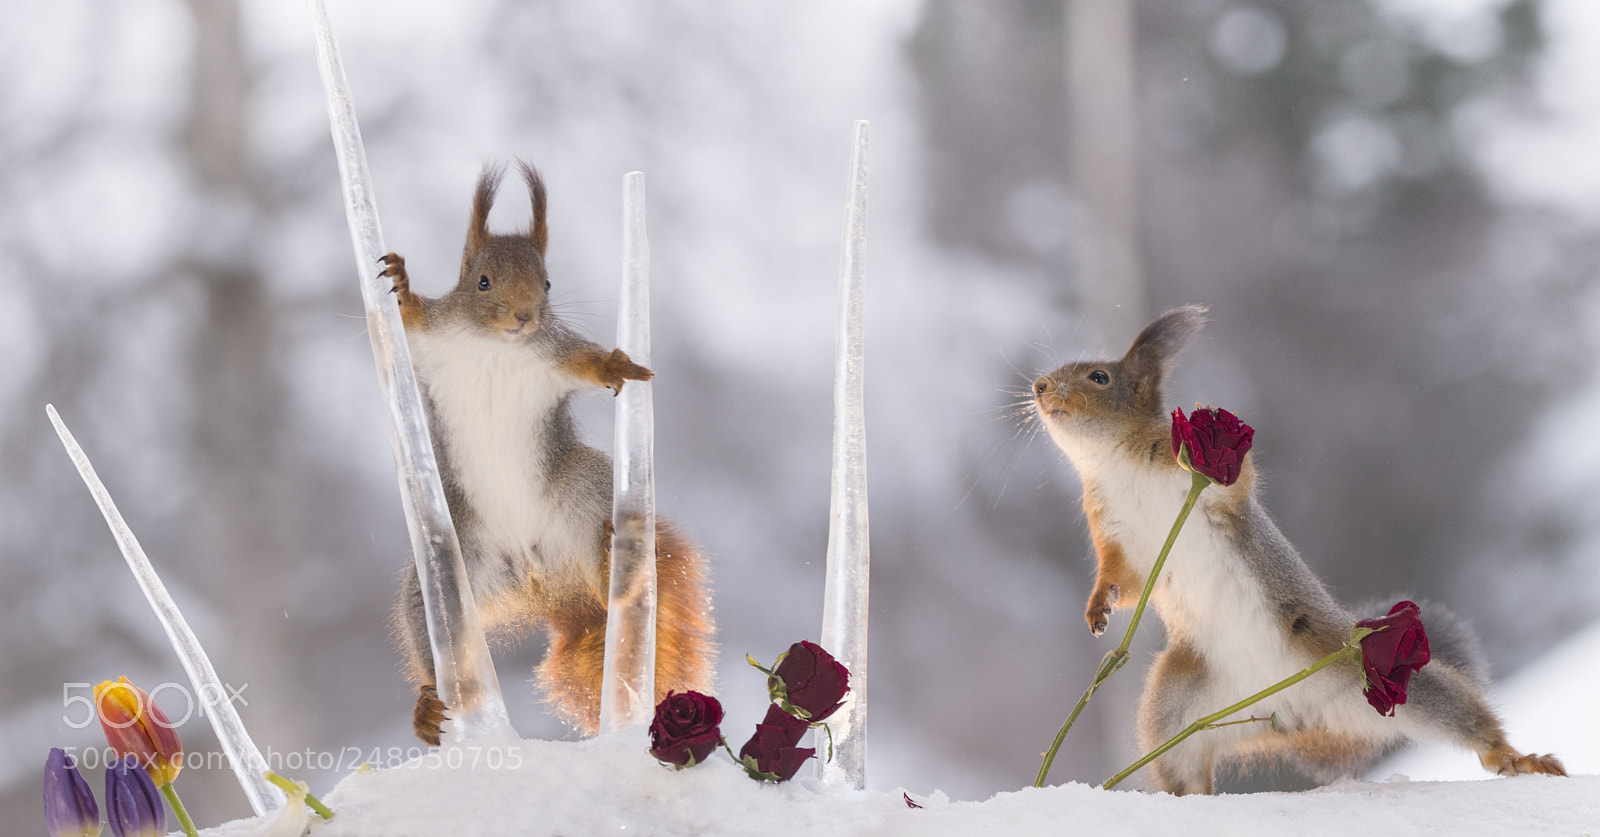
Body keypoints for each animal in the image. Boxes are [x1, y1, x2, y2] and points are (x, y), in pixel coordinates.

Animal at [379, 160, 714, 744]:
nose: (523, 316)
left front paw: (615, 366)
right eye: (482, 281)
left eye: (548, 283)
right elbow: (410, 317)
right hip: (451, 568)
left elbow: (588, 361)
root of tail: (541, 585)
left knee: (606, 593)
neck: (496, 346)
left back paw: (609, 566)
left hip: (584, 489)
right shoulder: (431, 337)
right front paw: (400, 284)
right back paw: (427, 703)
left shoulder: (554, 355)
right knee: (432, 636)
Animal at [1031, 305, 1565, 794]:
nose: (1038, 386)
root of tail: (1293, 714)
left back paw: (1518, 758)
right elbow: (1120, 578)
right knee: (1182, 762)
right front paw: (1098, 609)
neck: (1116, 462)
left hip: (1373, 675)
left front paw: (1203, 450)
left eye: (1099, 377)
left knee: (1465, 720)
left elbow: (1231, 482)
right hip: (1176, 706)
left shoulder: (1213, 495)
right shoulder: (1114, 532)